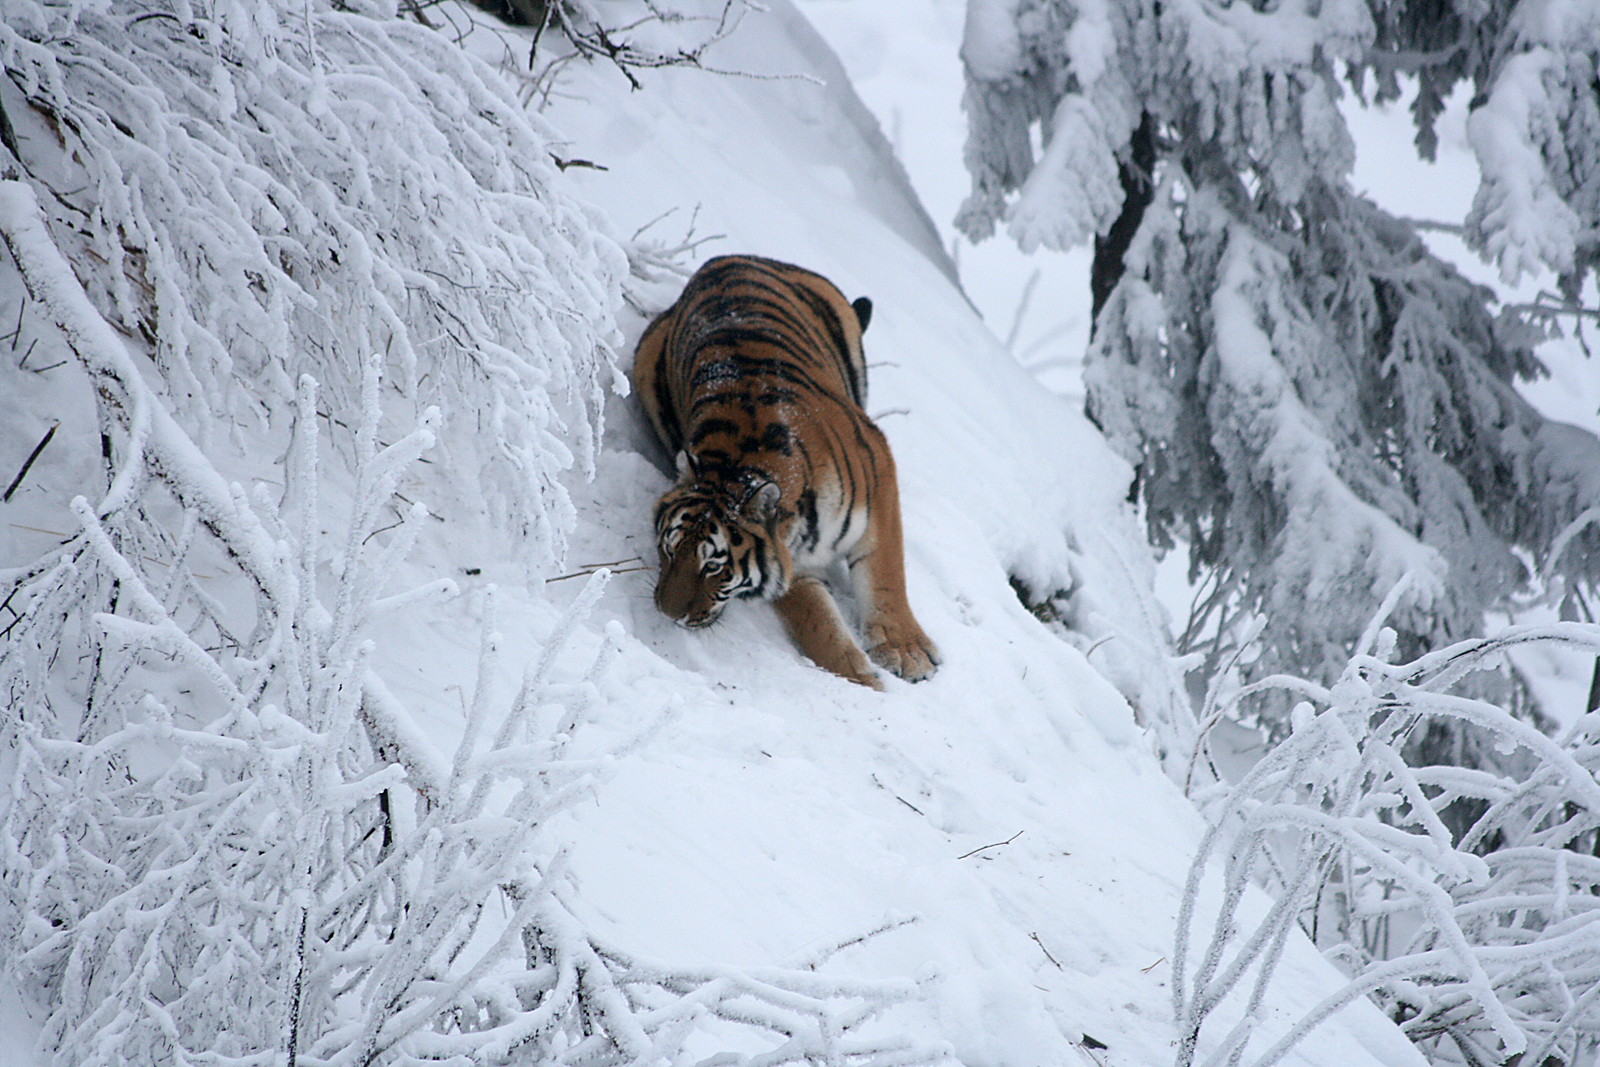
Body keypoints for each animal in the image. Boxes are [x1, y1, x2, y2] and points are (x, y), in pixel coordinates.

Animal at [632, 254, 941, 690]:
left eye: (714, 566)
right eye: (669, 548)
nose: (667, 613)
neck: (733, 467)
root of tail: (722, 259)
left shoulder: (878, 466)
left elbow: (884, 573)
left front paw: (906, 652)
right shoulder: (792, 560)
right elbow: (816, 619)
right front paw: (860, 677)